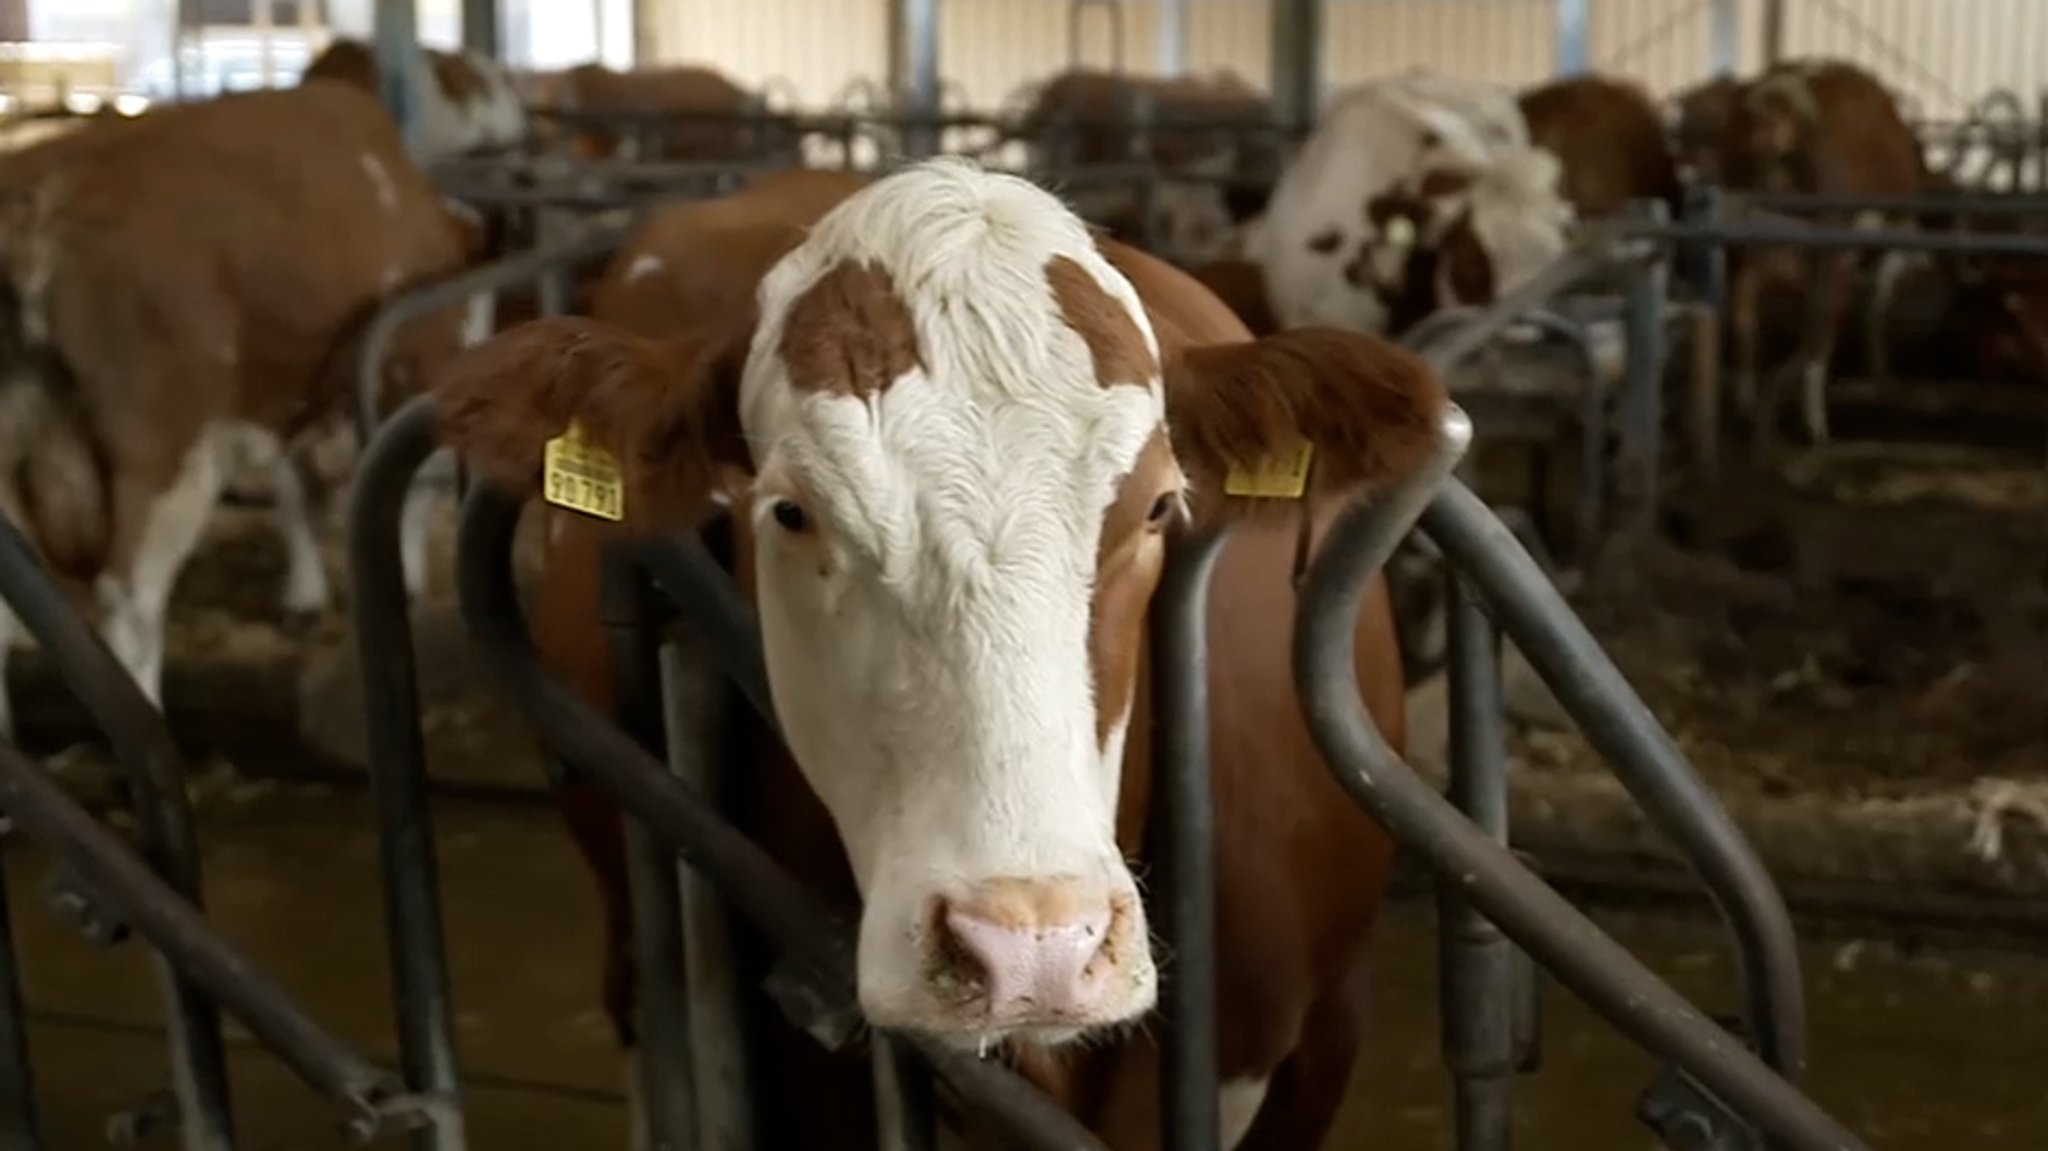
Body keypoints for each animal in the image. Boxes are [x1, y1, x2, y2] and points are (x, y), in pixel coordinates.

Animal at [0, 80, 475, 725]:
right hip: (163, 441)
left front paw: (304, 594)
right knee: (131, 600)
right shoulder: (412, 360)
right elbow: (407, 486)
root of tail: (37, 203)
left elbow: (293, 492)